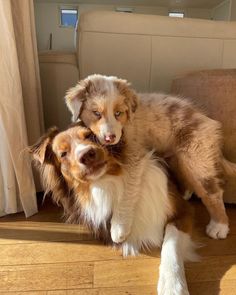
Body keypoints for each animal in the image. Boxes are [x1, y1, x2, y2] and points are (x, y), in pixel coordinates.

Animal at [31, 124, 197, 295]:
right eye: (63, 154)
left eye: (90, 136)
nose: (87, 155)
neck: (108, 182)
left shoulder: (181, 212)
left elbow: (170, 244)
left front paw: (173, 285)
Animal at [65, 75, 236, 242]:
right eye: (96, 113)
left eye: (118, 113)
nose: (110, 138)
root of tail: (208, 120)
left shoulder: (135, 157)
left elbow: (127, 191)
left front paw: (119, 228)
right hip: (180, 157)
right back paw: (186, 192)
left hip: (197, 156)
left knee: (213, 192)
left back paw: (219, 226)